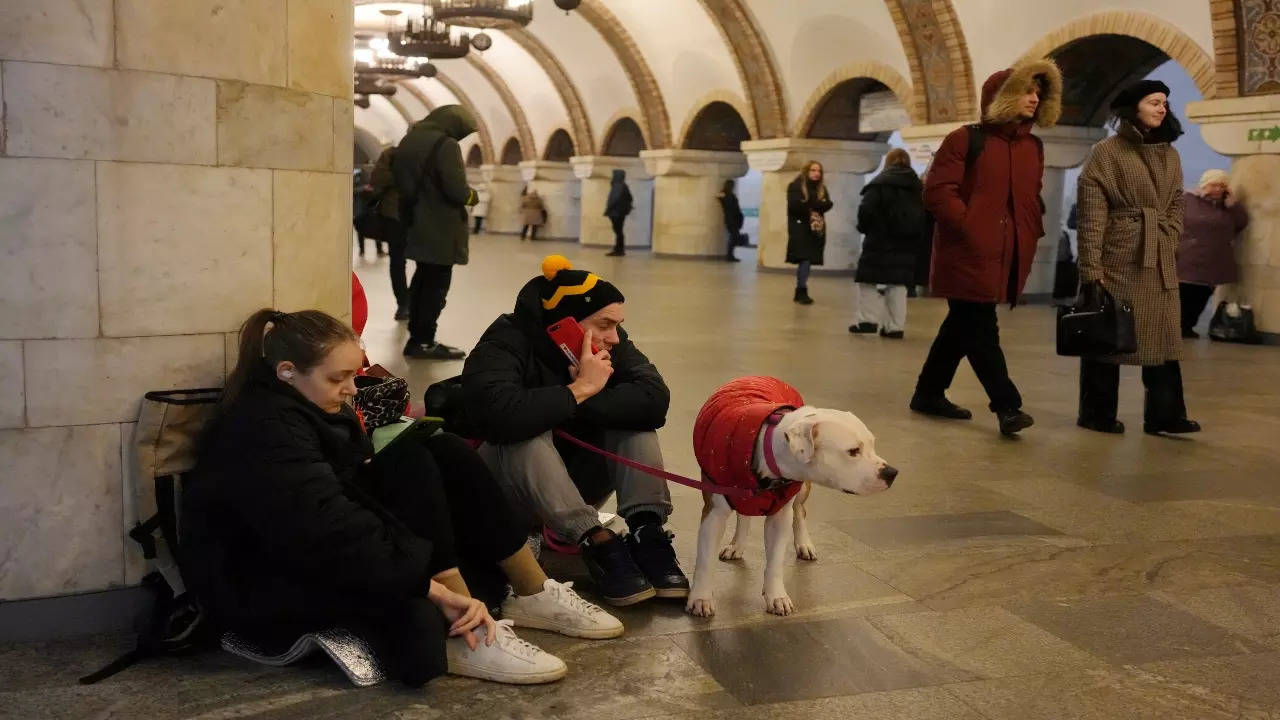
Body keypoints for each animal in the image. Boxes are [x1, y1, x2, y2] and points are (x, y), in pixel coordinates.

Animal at [686, 379, 896, 614]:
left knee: (799, 512)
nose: (892, 473)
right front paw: (701, 598)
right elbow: (705, 560)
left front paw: (776, 596)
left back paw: (804, 544)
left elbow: (776, 560)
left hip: (802, 490)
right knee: (745, 514)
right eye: (853, 451)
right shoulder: (714, 513)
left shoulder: (780, 516)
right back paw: (737, 545)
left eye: (872, 444)